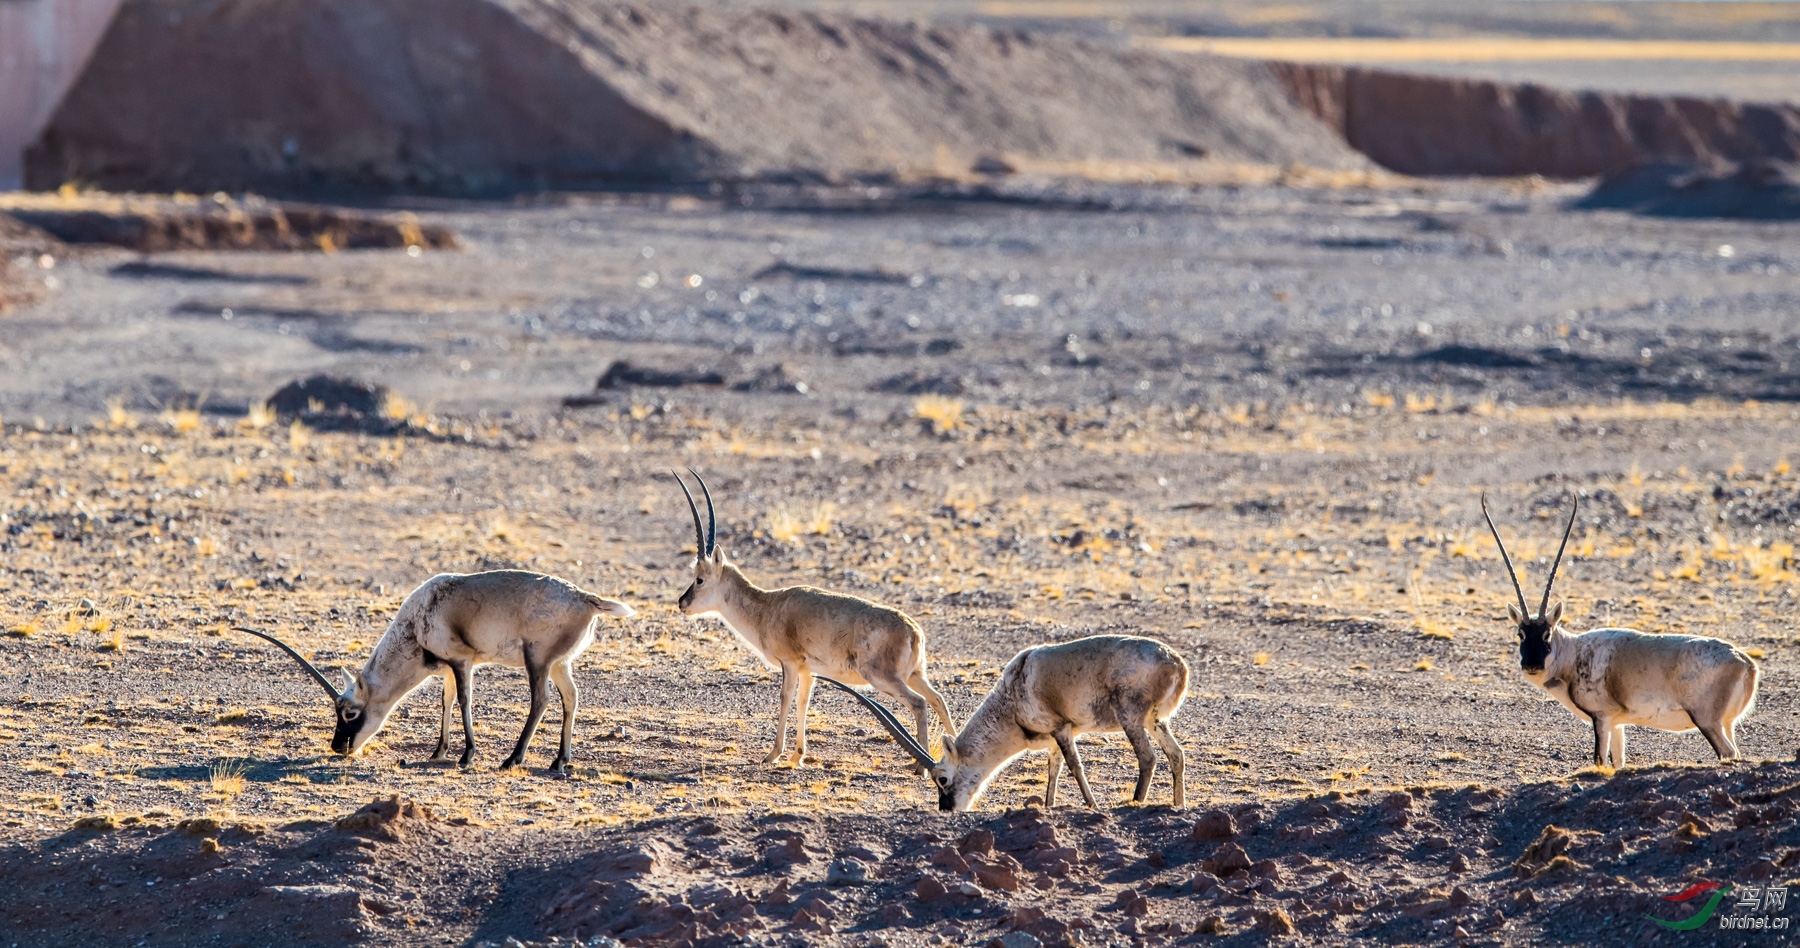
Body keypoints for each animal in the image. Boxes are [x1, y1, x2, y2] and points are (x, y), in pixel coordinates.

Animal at [234, 572, 633, 769]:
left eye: (349, 712)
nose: (337, 747)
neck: (416, 620)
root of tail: (585, 598)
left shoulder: (462, 660)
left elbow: (465, 703)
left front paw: (466, 755)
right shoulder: (446, 669)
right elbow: (446, 702)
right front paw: (438, 751)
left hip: (537, 659)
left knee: (541, 700)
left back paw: (512, 759)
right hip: (560, 663)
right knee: (571, 698)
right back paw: (558, 761)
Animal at [673, 471, 957, 766]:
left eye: (699, 579)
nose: (682, 602)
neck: (768, 607)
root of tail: (913, 632)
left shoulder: (789, 664)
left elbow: (785, 698)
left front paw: (773, 754)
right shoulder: (808, 670)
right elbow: (803, 702)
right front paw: (797, 755)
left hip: (883, 677)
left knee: (919, 703)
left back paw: (920, 765)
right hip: (914, 675)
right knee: (938, 700)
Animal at [820, 633, 1188, 813]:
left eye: (942, 778)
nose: (946, 810)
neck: (1013, 689)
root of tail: (1177, 664)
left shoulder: (1061, 728)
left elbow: (1073, 766)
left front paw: (1092, 804)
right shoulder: (1058, 735)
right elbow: (1053, 770)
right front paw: (1050, 807)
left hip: (1131, 717)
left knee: (1148, 758)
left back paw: (1136, 803)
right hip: (1155, 721)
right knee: (1176, 755)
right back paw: (1177, 804)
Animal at [1483, 496, 1764, 769]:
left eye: (1546, 634)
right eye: (1520, 634)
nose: (1531, 665)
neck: (1573, 654)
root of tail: (1745, 663)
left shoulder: (1602, 717)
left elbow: (1599, 760)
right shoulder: (1617, 723)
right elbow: (1618, 762)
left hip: (1706, 721)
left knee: (1727, 752)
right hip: (1726, 724)